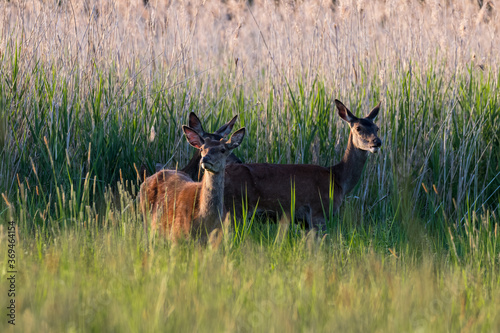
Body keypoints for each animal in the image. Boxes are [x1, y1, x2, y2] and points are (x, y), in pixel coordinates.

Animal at [224, 98, 382, 231]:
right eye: (358, 128)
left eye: (377, 128)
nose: (377, 142)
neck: (338, 180)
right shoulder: (318, 211)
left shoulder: (304, 222)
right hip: (236, 207)